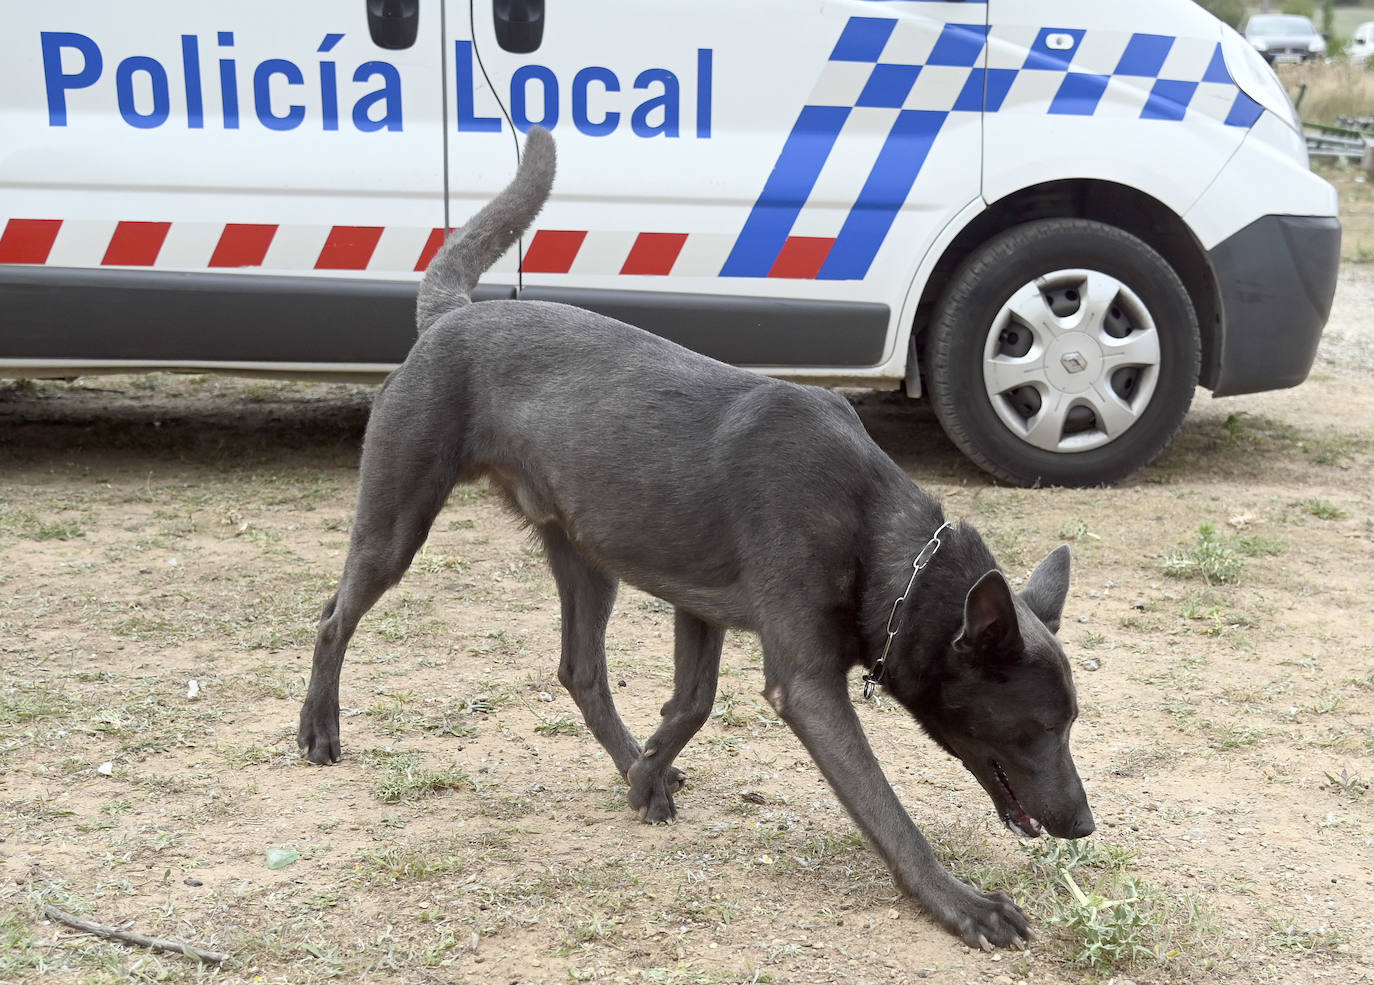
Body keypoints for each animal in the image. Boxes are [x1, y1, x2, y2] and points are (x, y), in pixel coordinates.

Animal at [300, 127, 1093, 950]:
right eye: (1042, 725)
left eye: (1072, 723)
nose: (1084, 824)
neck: (881, 537)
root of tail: (452, 316)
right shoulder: (806, 687)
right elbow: (887, 811)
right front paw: (961, 903)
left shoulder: (699, 608)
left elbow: (693, 704)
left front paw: (646, 772)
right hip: (398, 523)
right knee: (332, 616)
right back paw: (319, 729)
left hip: (589, 558)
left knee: (581, 672)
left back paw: (627, 760)